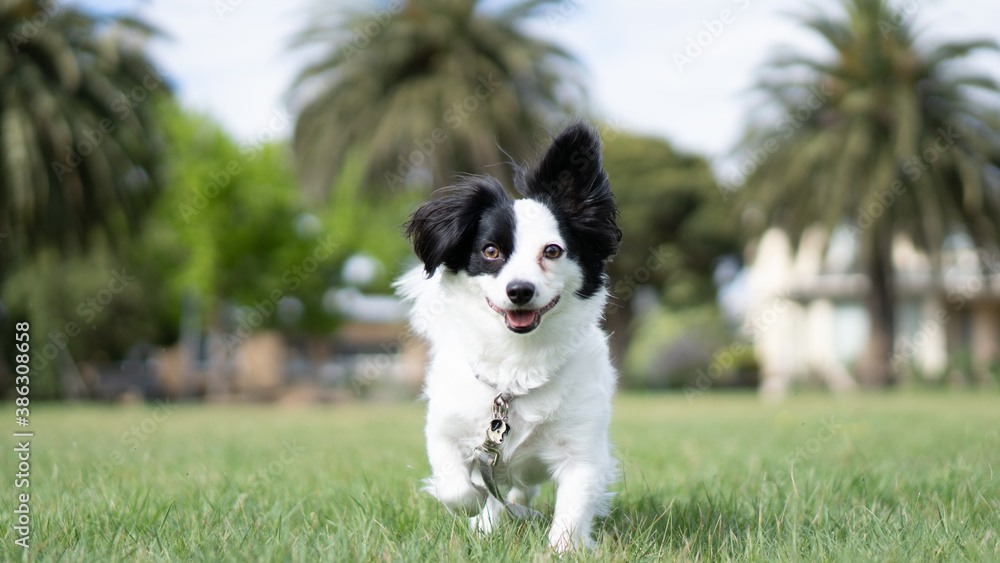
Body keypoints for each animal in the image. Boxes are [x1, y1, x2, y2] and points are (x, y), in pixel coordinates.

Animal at [394, 120, 620, 552]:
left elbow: (572, 509)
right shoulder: (446, 430)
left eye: (552, 251)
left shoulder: (583, 453)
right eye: (490, 251)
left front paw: (562, 549)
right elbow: (457, 487)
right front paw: (476, 510)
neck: (518, 362)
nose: (519, 291)